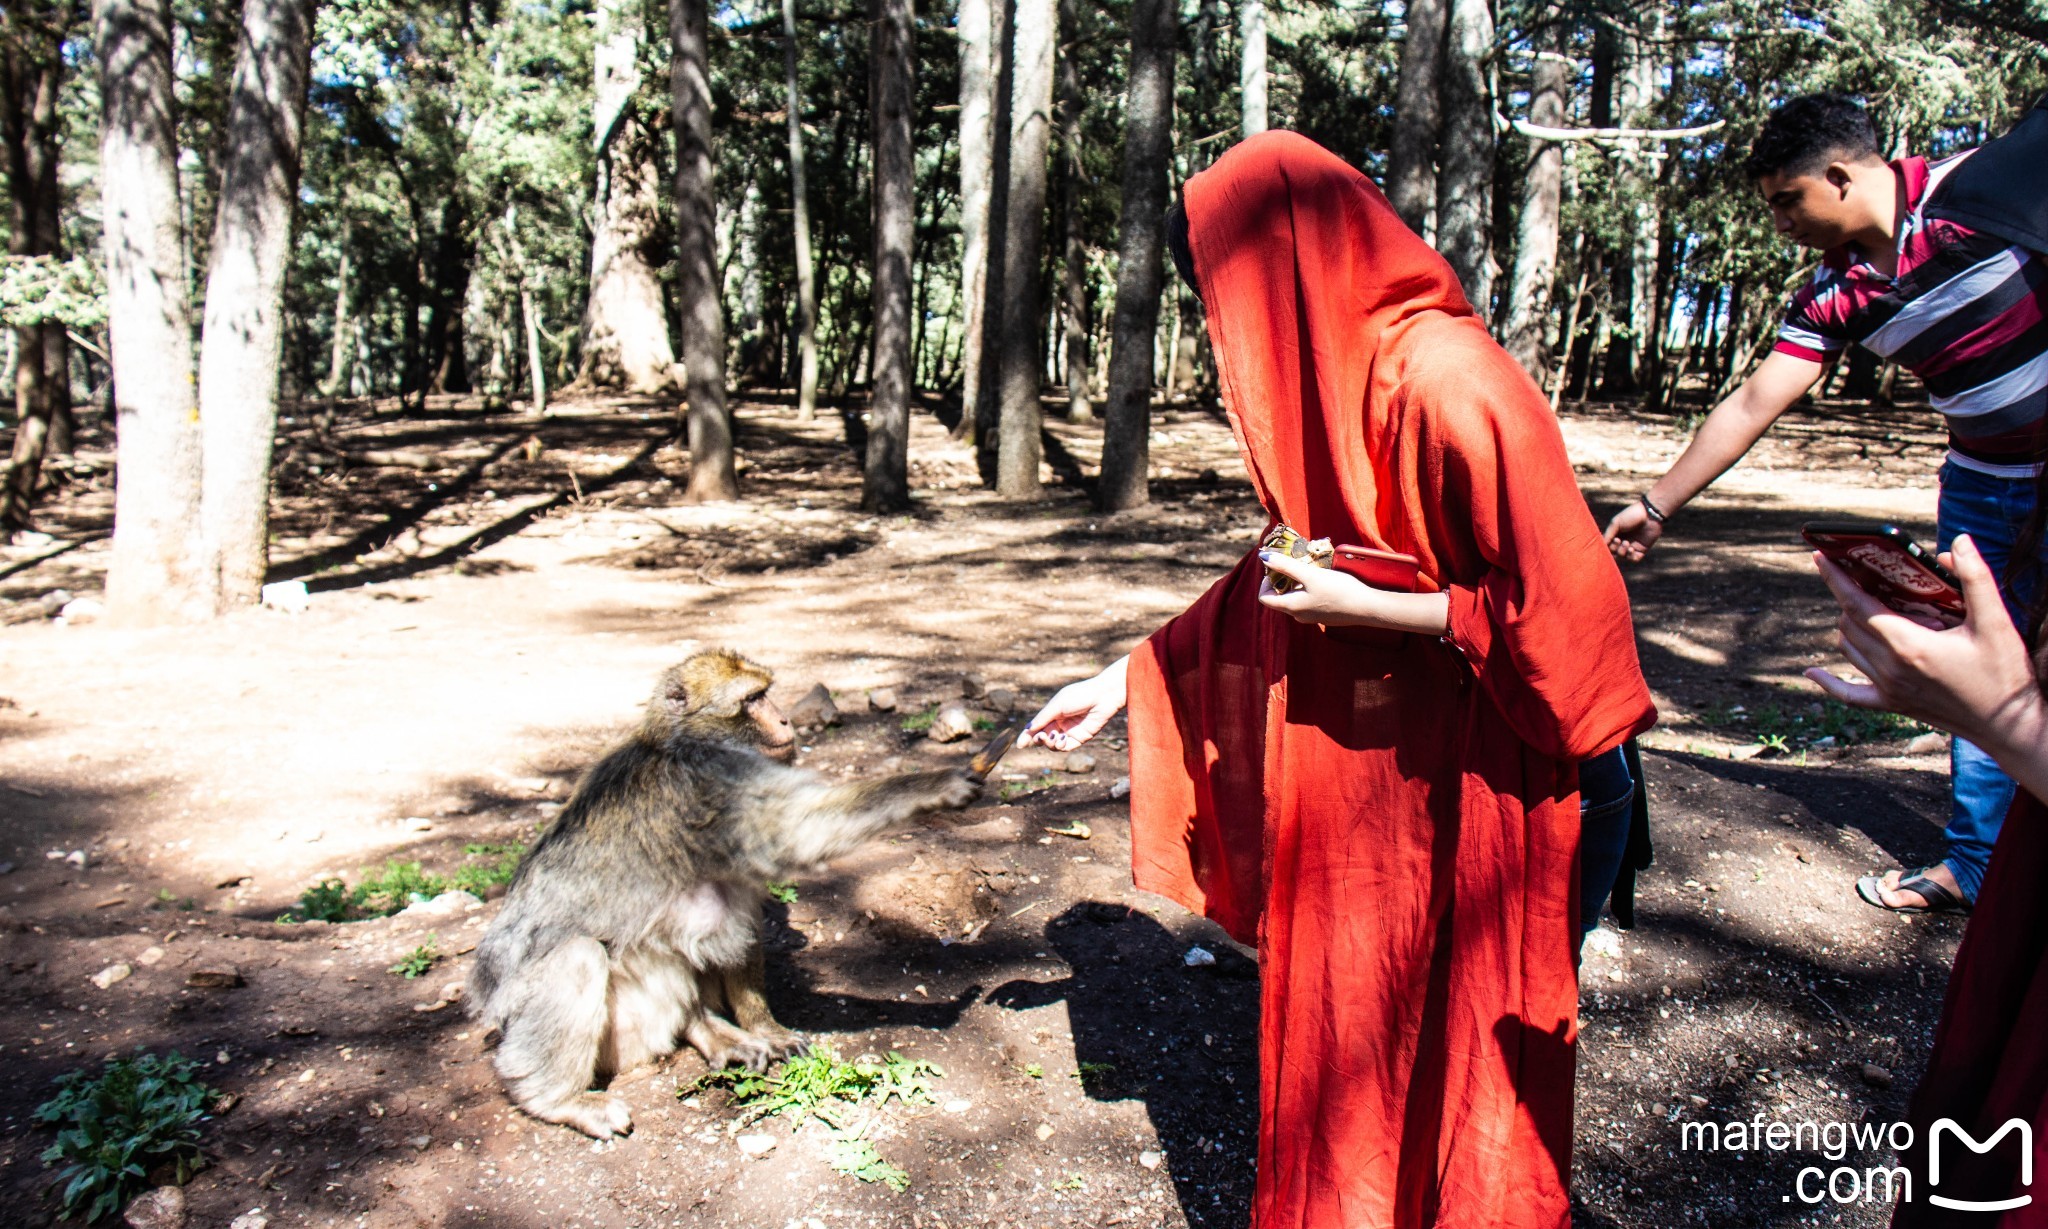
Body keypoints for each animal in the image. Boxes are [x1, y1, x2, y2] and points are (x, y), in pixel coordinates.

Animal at [468, 647, 978, 1138]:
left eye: (767, 693)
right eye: (752, 700)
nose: (786, 719)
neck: (677, 740)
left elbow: (745, 918)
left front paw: (763, 1025)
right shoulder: (712, 778)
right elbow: (795, 831)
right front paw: (932, 786)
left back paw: (706, 1028)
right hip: (568, 1020)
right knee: (581, 956)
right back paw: (560, 1100)